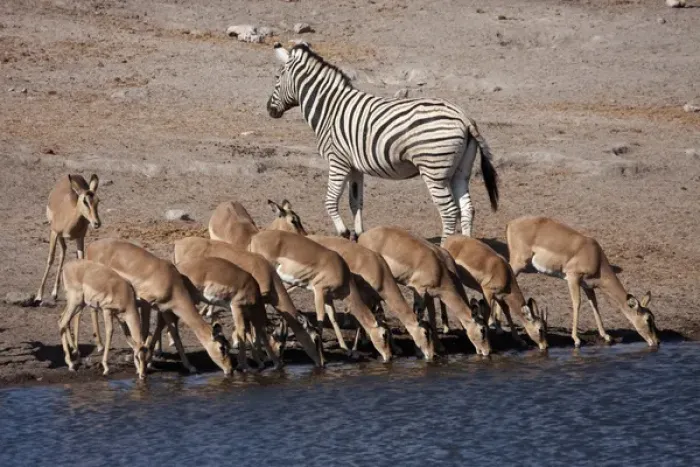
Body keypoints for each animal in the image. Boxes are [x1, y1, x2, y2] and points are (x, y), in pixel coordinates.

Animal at [85, 238, 234, 374]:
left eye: (228, 345)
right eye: (222, 348)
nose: (230, 370)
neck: (171, 282)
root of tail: (91, 246)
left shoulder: (165, 309)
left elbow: (175, 336)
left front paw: (190, 367)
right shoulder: (146, 303)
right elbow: (145, 331)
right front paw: (144, 366)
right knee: (93, 311)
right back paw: (101, 350)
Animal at [249, 230, 392, 363]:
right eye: (384, 334)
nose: (389, 357)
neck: (341, 271)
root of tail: (255, 237)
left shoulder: (328, 297)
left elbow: (333, 318)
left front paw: (347, 350)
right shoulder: (319, 291)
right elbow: (320, 319)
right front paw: (324, 356)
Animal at [266, 42, 499, 244]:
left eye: (277, 77)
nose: (269, 110)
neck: (330, 109)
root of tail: (463, 117)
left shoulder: (338, 160)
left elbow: (330, 200)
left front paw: (344, 232)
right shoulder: (354, 166)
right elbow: (355, 202)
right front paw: (358, 235)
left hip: (434, 170)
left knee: (449, 212)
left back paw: (445, 248)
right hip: (460, 170)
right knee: (467, 208)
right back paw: (465, 246)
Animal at [357, 226, 491, 356]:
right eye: (482, 330)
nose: (488, 351)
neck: (438, 270)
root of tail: (362, 237)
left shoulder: (430, 294)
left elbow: (432, 317)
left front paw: (439, 347)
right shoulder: (419, 291)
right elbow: (419, 315)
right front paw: (419, 350)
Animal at [506, 216, 660, 347]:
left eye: (653, 317)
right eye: (648, 319)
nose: (657, 342)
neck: (595, 257)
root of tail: (511, 223)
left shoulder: (588, 286)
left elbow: (594, 305)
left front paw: (606, 336)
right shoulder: (573, 278)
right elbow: (577, 303)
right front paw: (576, 339)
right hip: (517, 265)